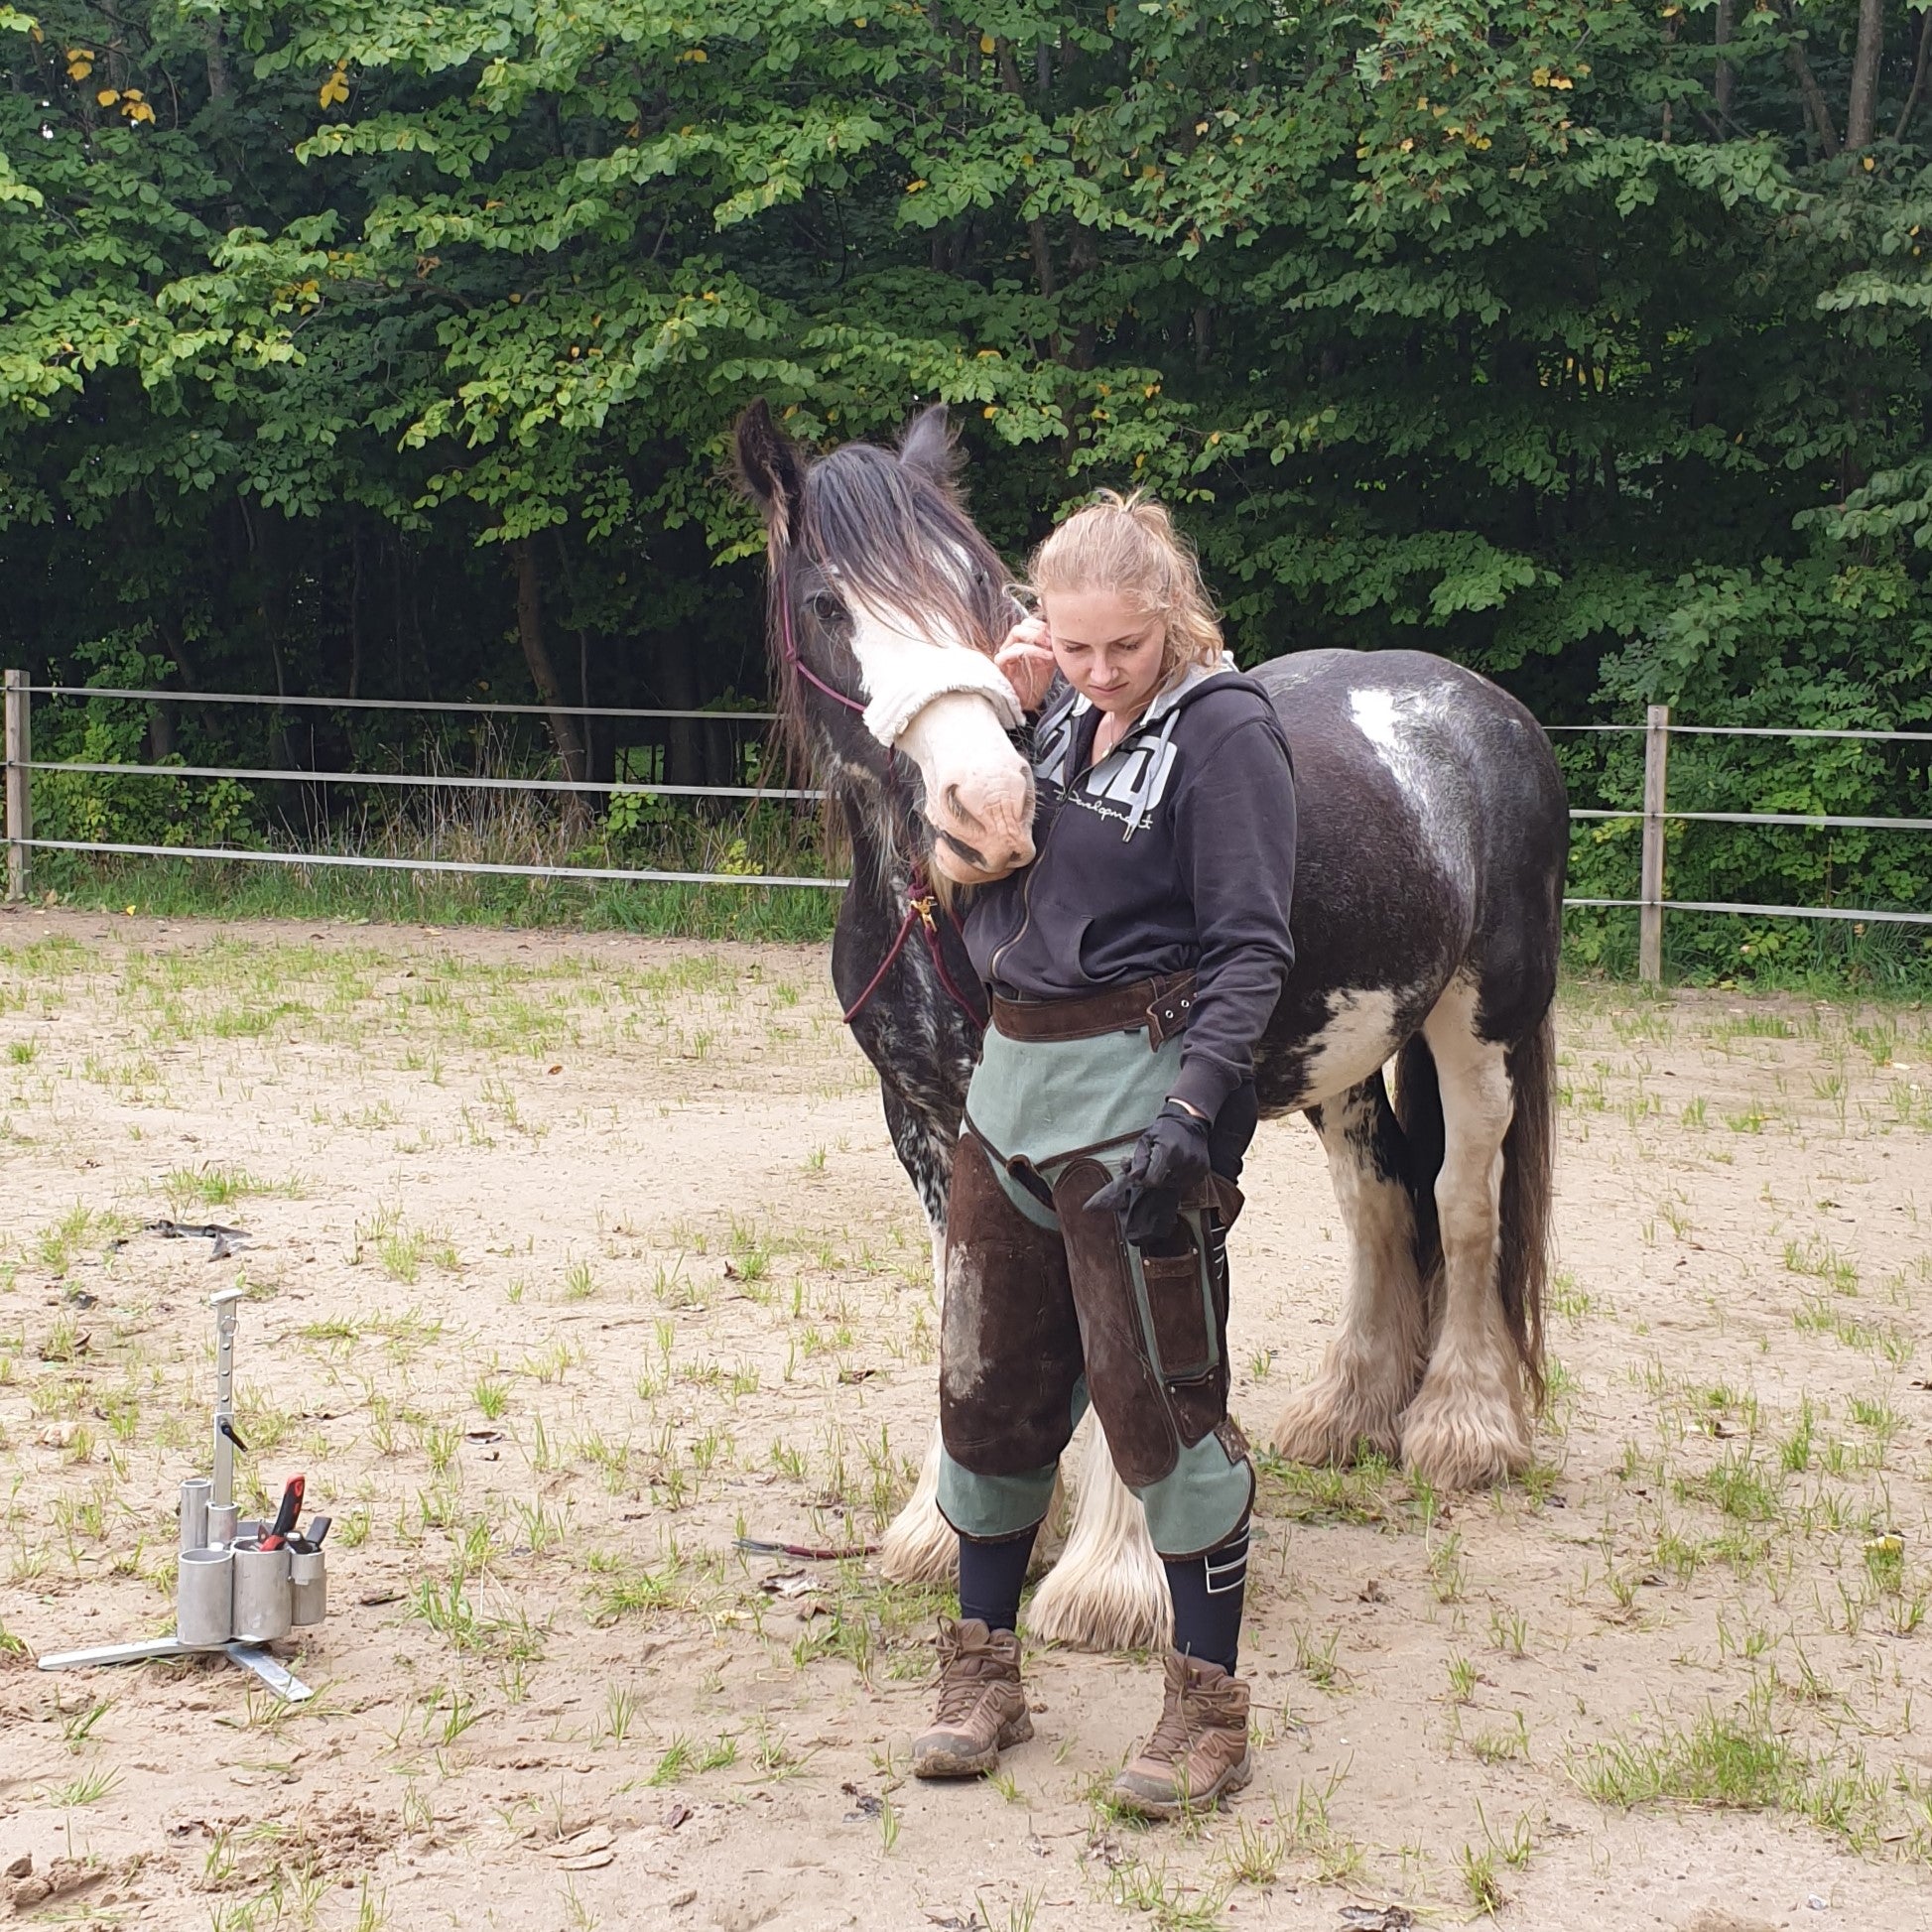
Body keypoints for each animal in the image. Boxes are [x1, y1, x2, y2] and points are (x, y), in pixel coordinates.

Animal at [733, 396, 1568, 1645]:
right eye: (829, 604)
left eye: (974, 583)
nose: (990, 814)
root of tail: (1485, 709)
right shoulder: (929, 1122)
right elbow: (966, 1305)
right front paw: (948, 1525)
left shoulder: (1115, 1142)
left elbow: (1117, 1331)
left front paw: (1110, 1577)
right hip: (1342, 1055)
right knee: (1382, 1202)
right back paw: (1348, 1413)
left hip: (1484, 1027)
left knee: (1468, 1203)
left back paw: (1462, 1428)